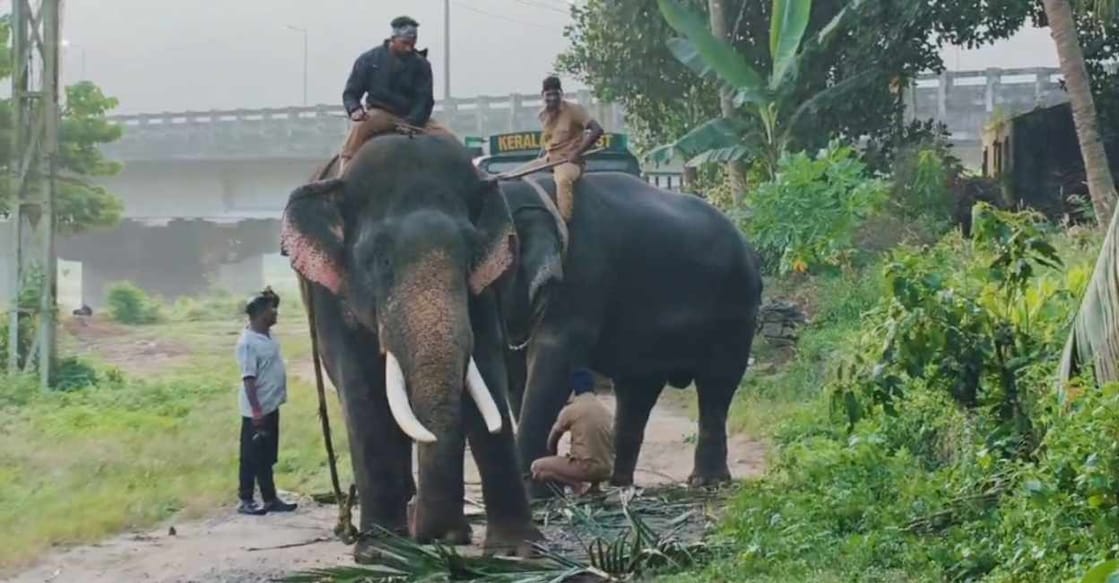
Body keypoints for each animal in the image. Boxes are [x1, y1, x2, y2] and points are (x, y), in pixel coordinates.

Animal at [279, 133, 540, 562]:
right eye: (381, 260)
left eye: (470, 255)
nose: (433, 534)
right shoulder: (332, 295)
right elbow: (364, 396)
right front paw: (382, 554)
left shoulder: (484, 289)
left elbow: (486, 376)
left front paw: (515, 551)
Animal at [495, 172, 763, 494]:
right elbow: (516, 372)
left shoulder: (579, 282)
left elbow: (551, 361)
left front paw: (536, 494)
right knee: (637, 389)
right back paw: (619, 484)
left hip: (736, 309)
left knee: (717, 384)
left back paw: (706, 481)